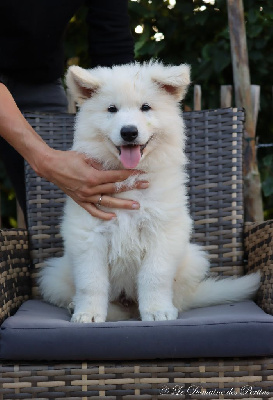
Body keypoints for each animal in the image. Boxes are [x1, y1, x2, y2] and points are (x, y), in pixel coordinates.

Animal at [37, 61, 258, 322]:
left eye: (146, 107)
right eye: (111, 109)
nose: (129, 132)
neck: (131, 177)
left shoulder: (163, 232)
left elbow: (155, 276)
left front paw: (157, 311)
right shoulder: (88, 233)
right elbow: (91, 281)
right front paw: (88, 314)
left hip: (193, 259)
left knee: (170, 300)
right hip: (56, 274)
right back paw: (82, 307)